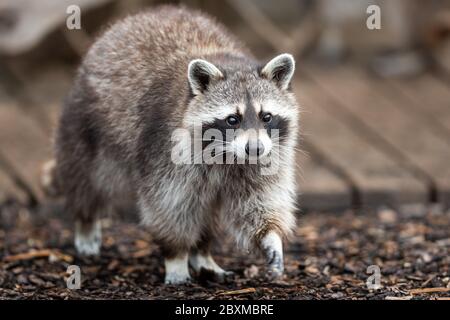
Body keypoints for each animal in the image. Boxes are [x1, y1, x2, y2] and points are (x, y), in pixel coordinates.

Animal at [51, 5, 298, 284]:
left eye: (266, 116)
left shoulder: (268, 156)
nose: (254, 149)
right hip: (87, 125)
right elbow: (170, 205)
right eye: (232, 119)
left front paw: (271, 236)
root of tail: (146, 14)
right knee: (88, 178)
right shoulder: (165, 149)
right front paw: (177, 256)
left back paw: (203, 253)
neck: (227, 156)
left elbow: (259, 199)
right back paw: (86, 222)